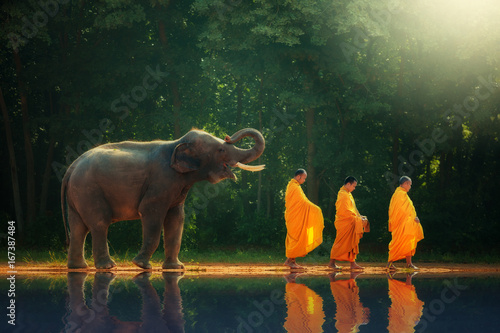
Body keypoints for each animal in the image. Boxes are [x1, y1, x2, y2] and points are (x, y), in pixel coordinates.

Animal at [62, 126, 266, 268]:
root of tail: (72, 166)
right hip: (88, 190)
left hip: (78, 194)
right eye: (220, 150)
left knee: (78, 227)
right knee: (99, 223)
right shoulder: (161, 181)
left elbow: (176, 218)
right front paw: (142, 265)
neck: (176, 143)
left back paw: (78, 267)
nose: (228, 136)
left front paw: (176, 268)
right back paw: (107, 267)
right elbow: (151, 212)